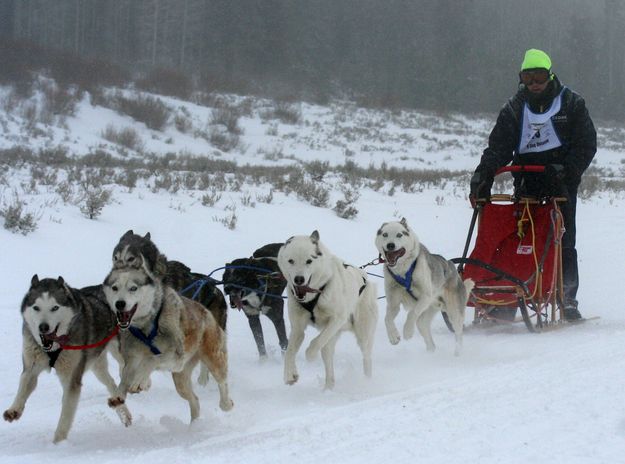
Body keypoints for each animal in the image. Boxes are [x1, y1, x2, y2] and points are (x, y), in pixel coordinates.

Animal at [3, 276, 130, 442]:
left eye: (55, 308)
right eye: (36, 308)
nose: (43, 327)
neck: (54, 347)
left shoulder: (71, 379)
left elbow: (65, 416)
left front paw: (58, 443)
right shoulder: (31, 365)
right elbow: (24, 384)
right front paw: (14, 409)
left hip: (120, 351)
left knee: (129, 366)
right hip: (96, 364)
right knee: (111, 383)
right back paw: (124, 413)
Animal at [103, 262, 233, 422]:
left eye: (133, 288)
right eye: (115, 287)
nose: (119, 303)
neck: (147, 326)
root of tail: (206, 312)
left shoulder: (176, 358)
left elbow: (150, 359)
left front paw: (140, 381)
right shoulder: (132, 358)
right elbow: (125, 377)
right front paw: (120, 395)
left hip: (212, 359)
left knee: (222, 382)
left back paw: (226, 404)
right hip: (180, 379)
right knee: (195, 400)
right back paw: (195, 425)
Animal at [278, 230, 376, 390]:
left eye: (309, 261)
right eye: (291, 261)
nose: (299, 279)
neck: (313, 296)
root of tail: (367, 280)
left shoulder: (337, 319)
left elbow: (315, 343)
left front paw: (310, 355)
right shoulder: (298, 329)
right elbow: (289, 352)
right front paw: (289, 375)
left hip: (363, 334)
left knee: (366, 357)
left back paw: (367, 382)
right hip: (333, 337)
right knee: (326, 353)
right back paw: (328, 387)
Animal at [372, 218, 470, 356]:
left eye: (399, 235)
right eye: (385, 234)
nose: (390, 245)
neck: (402, 271)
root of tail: (453, 268)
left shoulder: (425, 296)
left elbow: (412, 313)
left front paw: (407, 331)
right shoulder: (393, 303)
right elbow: (387, 319)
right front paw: (393, 336)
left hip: (454, 312)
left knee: (458, 333)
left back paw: (458, 352)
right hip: (426, 315)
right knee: (424, 329)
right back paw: (430, 352)